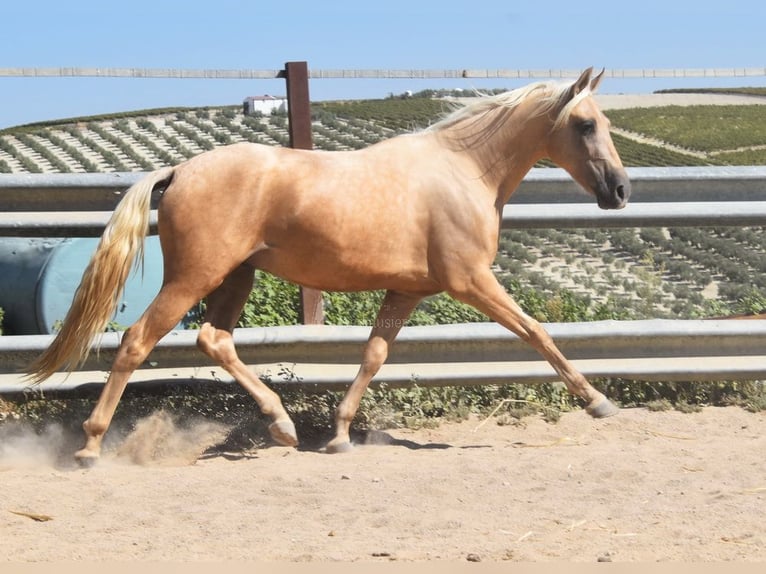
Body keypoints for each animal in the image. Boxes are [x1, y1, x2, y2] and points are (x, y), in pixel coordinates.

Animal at [28, 67, 632, 466]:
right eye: (584, 124)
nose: (621, 191)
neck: (464, 170)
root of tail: (178, 171)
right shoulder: (470, 281)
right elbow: (536, 332)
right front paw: (598, 402)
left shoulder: (407, 291)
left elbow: (373, 355)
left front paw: (340, 434)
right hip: (193, 277)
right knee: (136, 340)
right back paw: (90, 444)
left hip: (235, 276)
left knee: (213, 339)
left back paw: (283, 426)